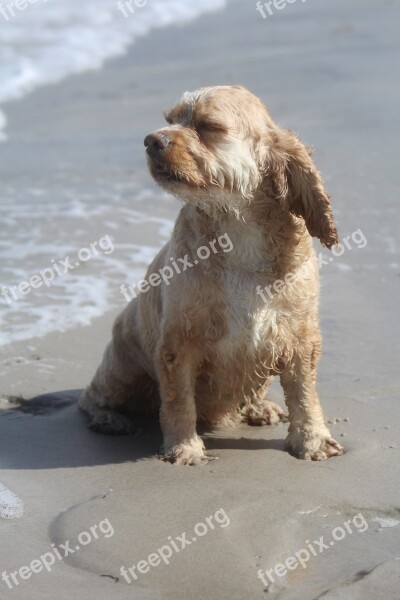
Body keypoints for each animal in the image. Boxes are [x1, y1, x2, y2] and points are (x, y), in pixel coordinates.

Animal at [79, 85, 344, 464]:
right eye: (171, 119)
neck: (239, 230)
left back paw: (259, 408)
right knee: (90, 397)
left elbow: (305, 394)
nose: (151, 140)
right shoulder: (178, 342)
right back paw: (109, 419)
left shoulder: (300, 337)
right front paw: (184, 447)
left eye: (208, 126)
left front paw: (313, 440)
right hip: (122, 367)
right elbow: (178, 401)